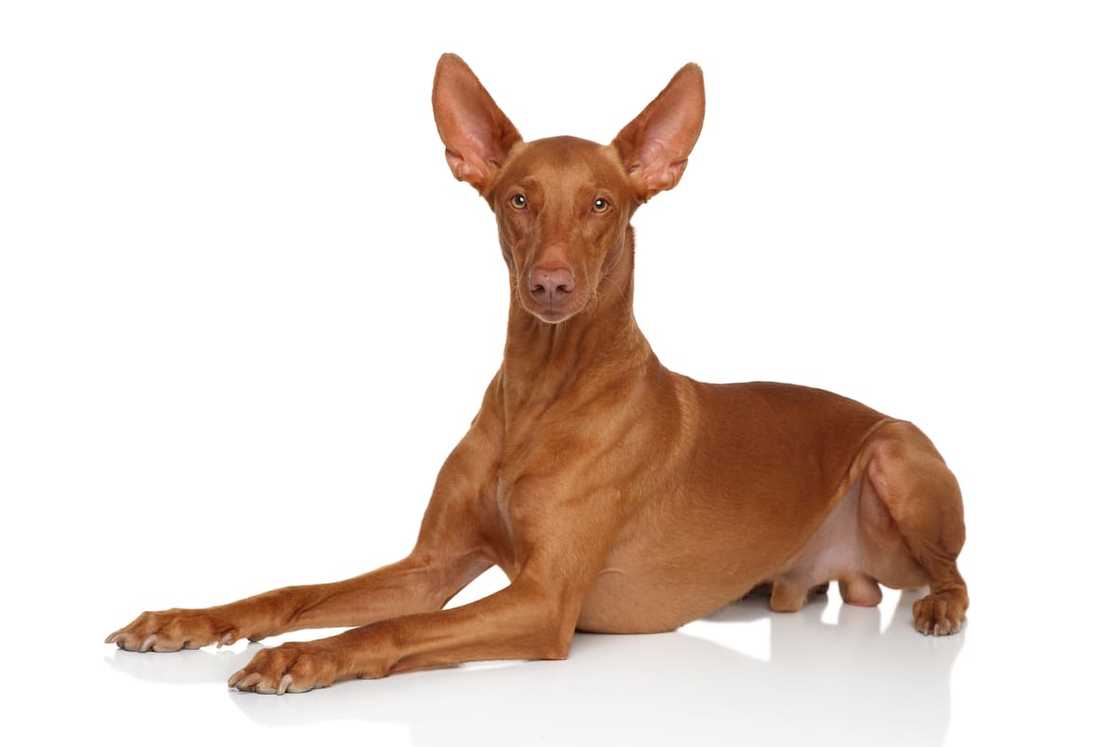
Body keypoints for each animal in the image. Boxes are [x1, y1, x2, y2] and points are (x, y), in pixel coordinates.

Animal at [105, 55, 963, 698]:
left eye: (601, 204)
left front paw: (303, 656)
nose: (551, 284)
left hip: (894, 454)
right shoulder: (430, 565)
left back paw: (940, 609)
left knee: (951, 571)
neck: (542, 394)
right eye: (518, 198)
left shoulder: (547, 600)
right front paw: (187, 620)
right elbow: (295, 595)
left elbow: (394, 626)